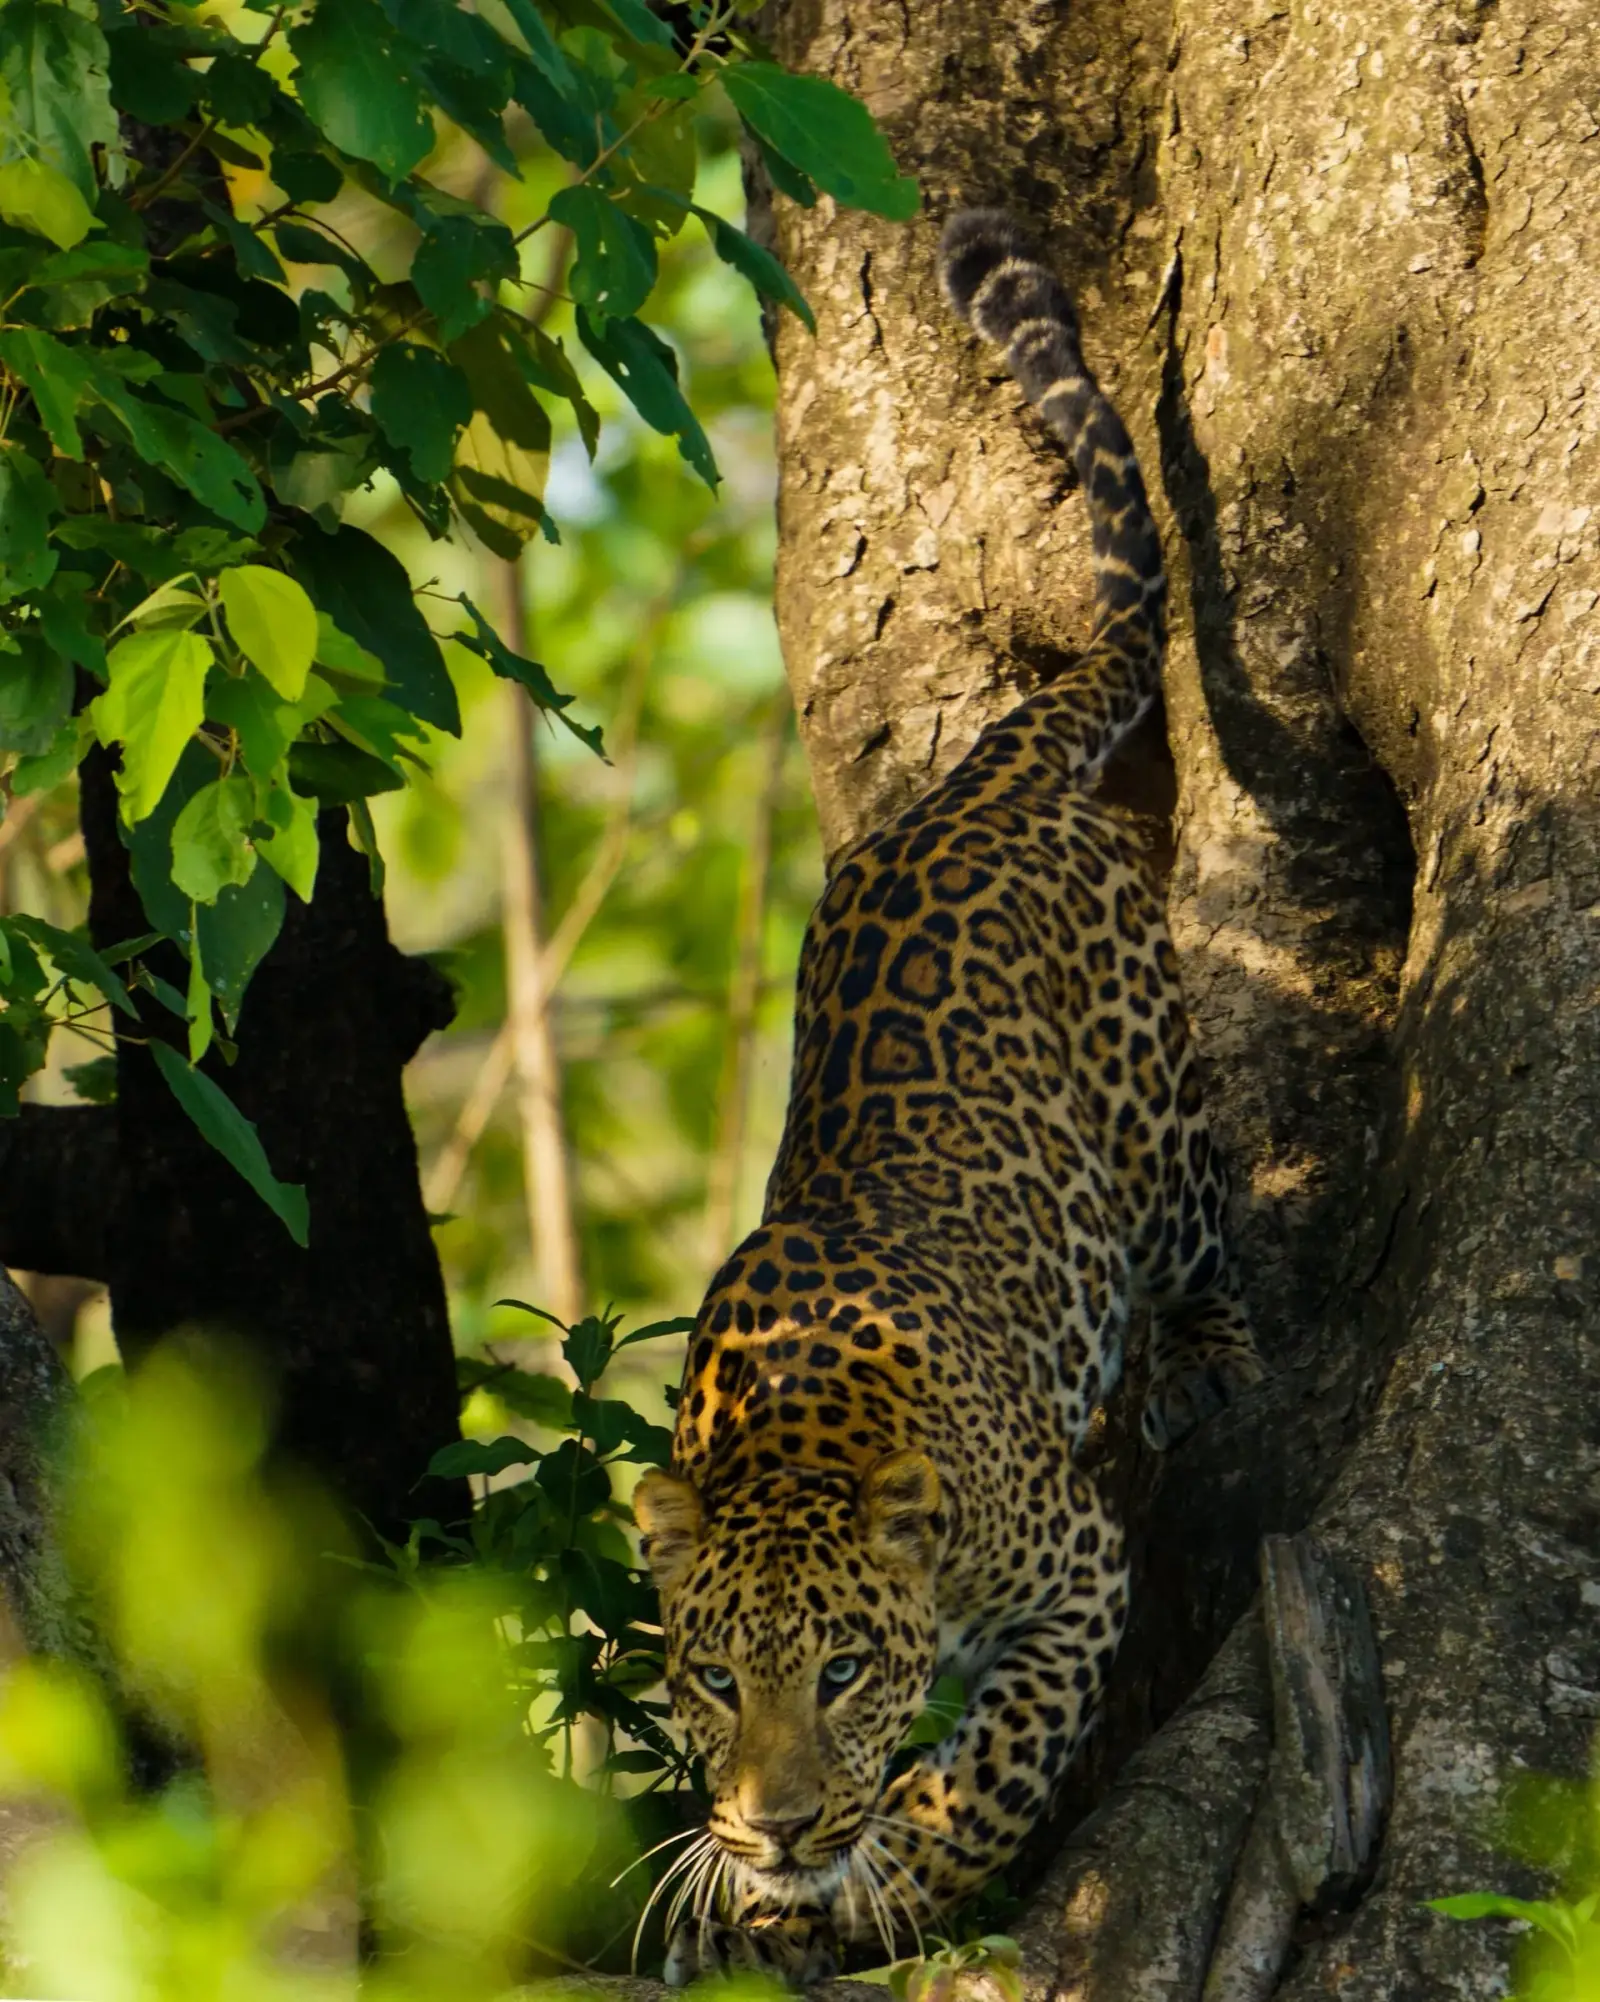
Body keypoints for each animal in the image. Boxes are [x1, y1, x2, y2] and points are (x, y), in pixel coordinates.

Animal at [633, 209, 1264, 1988]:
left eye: (844, 1669)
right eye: (715, 1676)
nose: (774, 1821)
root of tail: (979, 772)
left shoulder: (1078, 1577)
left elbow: (997, 1763)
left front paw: (890, 1874)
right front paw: (758, 1893)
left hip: (1156, 1130)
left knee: (1212, 1235)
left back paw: (1212, 1360)